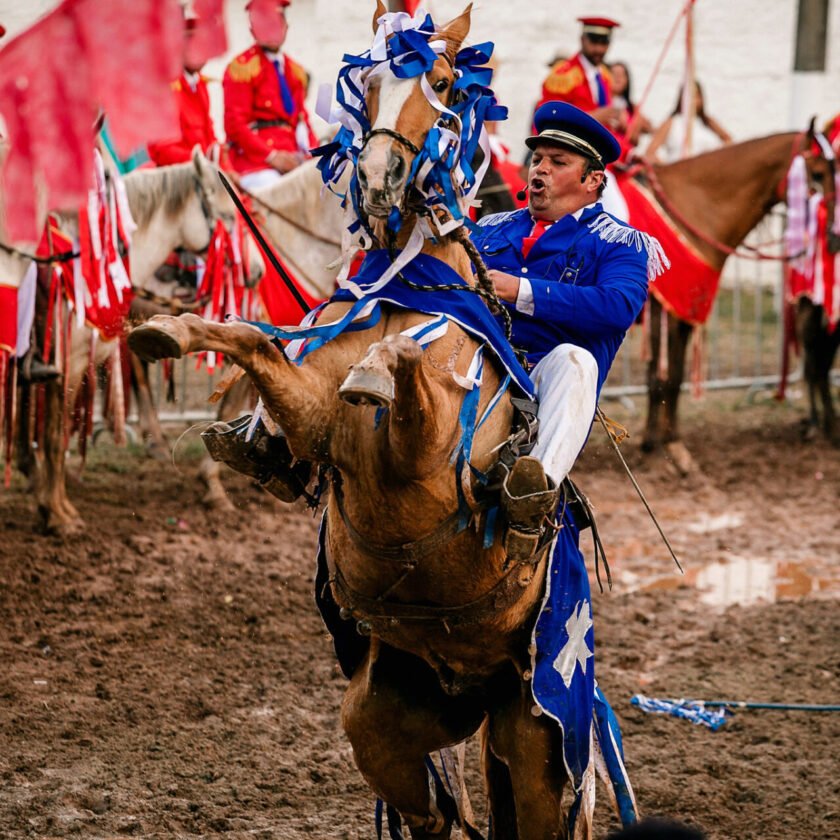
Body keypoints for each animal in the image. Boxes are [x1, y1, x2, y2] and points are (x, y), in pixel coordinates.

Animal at [131, 4, 628, 832]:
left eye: (441, 80)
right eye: (365, 84)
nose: (378, 181)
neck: (410, 288)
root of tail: (474, 688)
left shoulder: (425, 450)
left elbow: (406, 367)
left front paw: (382, 365)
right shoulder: (313, 411)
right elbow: (252, 339)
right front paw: (167, 330)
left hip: (535, 740)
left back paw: (524, 486)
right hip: (382, 722)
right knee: (432, 816)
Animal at [636, 133, 832, 472]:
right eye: (818, 174)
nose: (834, 233)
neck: (691, 207)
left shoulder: (681, 313)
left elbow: (672, 378)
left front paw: (669, 445)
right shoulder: (665, 313)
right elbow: (661, 379)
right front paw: (658, 448)